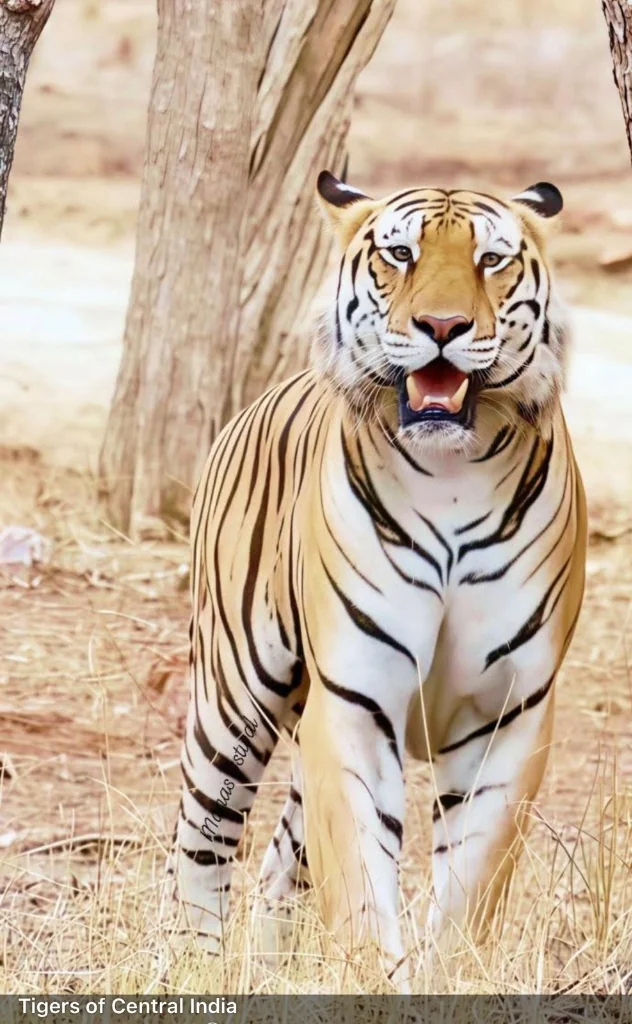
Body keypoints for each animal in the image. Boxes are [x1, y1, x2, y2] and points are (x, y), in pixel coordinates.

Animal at [171, 170, 587, 989]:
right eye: (400, 254)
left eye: (491, 260)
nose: (443, 325)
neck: (453, 472)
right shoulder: (356, 700)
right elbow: (362, 876)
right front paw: (377, 980)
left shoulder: (510, 713)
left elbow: (470, 886)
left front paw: (446, 976)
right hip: (233, 698)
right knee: (202, 839)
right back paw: (191, 971)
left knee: (278, 865)